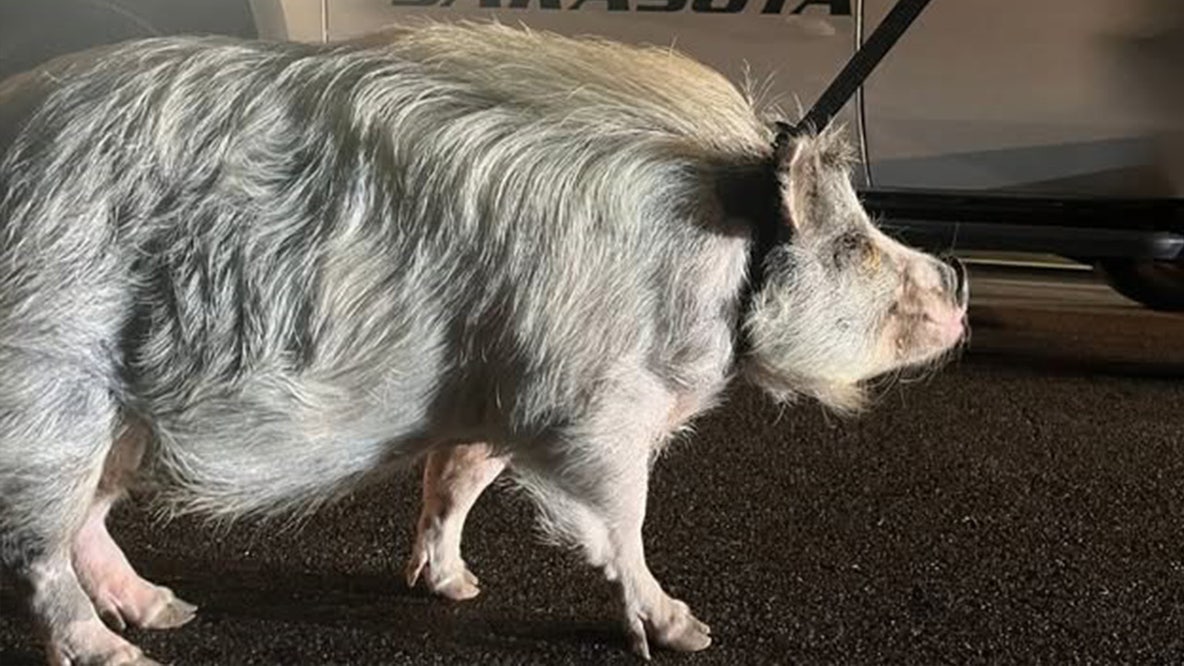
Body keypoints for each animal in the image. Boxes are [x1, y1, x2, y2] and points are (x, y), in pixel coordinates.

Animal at [0, 21, 968, 665]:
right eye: (850, 245)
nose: (957, 280)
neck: (720, 262)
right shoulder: (590, 406)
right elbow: (620, 520)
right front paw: (687, 630)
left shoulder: (500, 400)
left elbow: (456, 481)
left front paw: (456, 588)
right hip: (49, 396)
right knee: (37, 553)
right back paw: (123, 652)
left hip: (115, 426)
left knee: (84, 526)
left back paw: (170, 613)